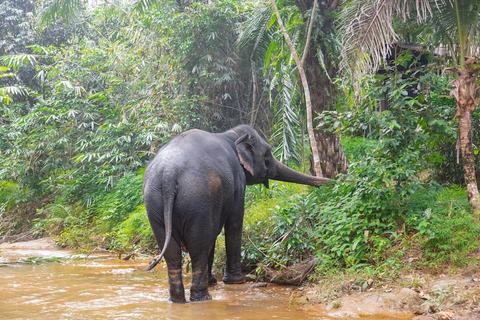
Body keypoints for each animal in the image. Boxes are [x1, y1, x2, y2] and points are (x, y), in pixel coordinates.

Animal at [143, 124, 330, 302]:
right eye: (267, 153)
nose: (329, 182)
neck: (231, 134)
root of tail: (169, 174)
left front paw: (215, 281)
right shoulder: (238, 182)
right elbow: (234, 222)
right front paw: (237, 281)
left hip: (154, 205)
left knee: (172, 254)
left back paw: (177, 300)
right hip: (197, 201)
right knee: (198, 247)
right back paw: (203, 298)